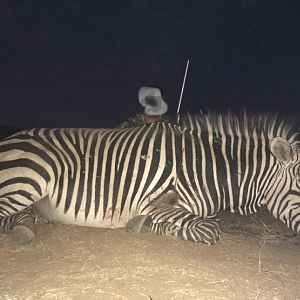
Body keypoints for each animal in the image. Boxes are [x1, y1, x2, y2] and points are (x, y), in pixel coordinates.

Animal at [0, 111, 300, 245]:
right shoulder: (158, 203)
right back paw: (24, 229)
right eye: (299, 189)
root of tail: (10, 138)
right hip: (29, 178)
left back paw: (31, 222)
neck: (208, 169)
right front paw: (142, 225)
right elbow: (208, 229)